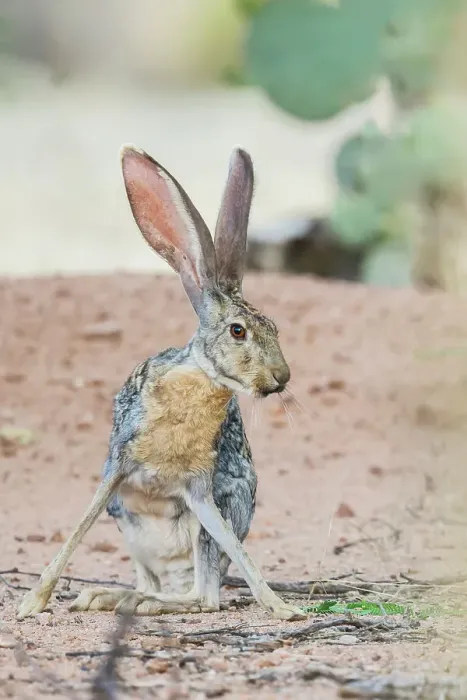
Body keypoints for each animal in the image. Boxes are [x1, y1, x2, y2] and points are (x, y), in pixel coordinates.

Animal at [17, 146, 304, 622]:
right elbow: (77, 530)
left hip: (217, 509)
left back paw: (137, 601)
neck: (201, 380)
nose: (281, 379)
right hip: (126, 521)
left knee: (202, 594)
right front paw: (31, 603)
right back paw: (109, 596)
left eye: (276, 328)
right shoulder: (118, 467)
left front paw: (282, 608)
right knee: (170, 585)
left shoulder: (202, 490)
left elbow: (240, 557)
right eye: (238, 331)